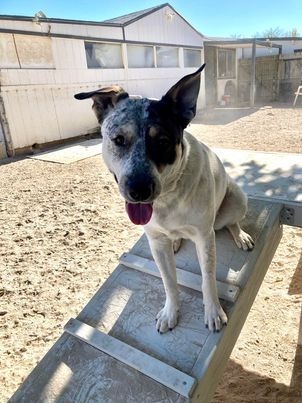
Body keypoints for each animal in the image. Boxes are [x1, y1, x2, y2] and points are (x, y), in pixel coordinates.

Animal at [74, 64, 254, 332]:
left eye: (163, 142)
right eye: (118, 140)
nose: (139, 191)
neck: (168, 198)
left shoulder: (204, 237)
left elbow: (208, 278)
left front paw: (213, 311)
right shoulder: (156, 242)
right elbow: (169, 281)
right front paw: (171, 312)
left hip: (237, 200)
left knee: (231, 222)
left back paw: (240, 235)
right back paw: (177, 240)